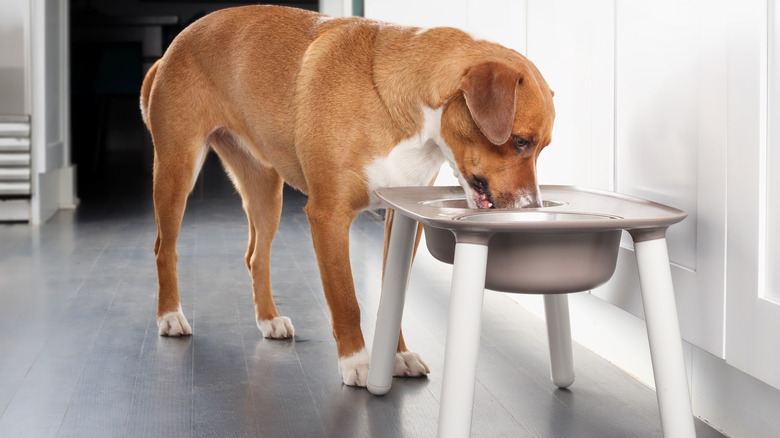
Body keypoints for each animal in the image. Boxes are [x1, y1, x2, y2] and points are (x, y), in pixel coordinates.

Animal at [140, 5, 556, 384]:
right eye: (520, 141)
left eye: (543, 147)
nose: (533, 207)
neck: (402, 111)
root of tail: (175, 45)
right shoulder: (328, 217)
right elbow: (345, 300)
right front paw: (356, 362)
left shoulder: (402, 219)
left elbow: (393, 296)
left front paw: (396, 356)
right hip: (177, 171)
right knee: (164, 248)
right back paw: (170, 317)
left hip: (265, 192)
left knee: (256, 257)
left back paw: (269, 319)